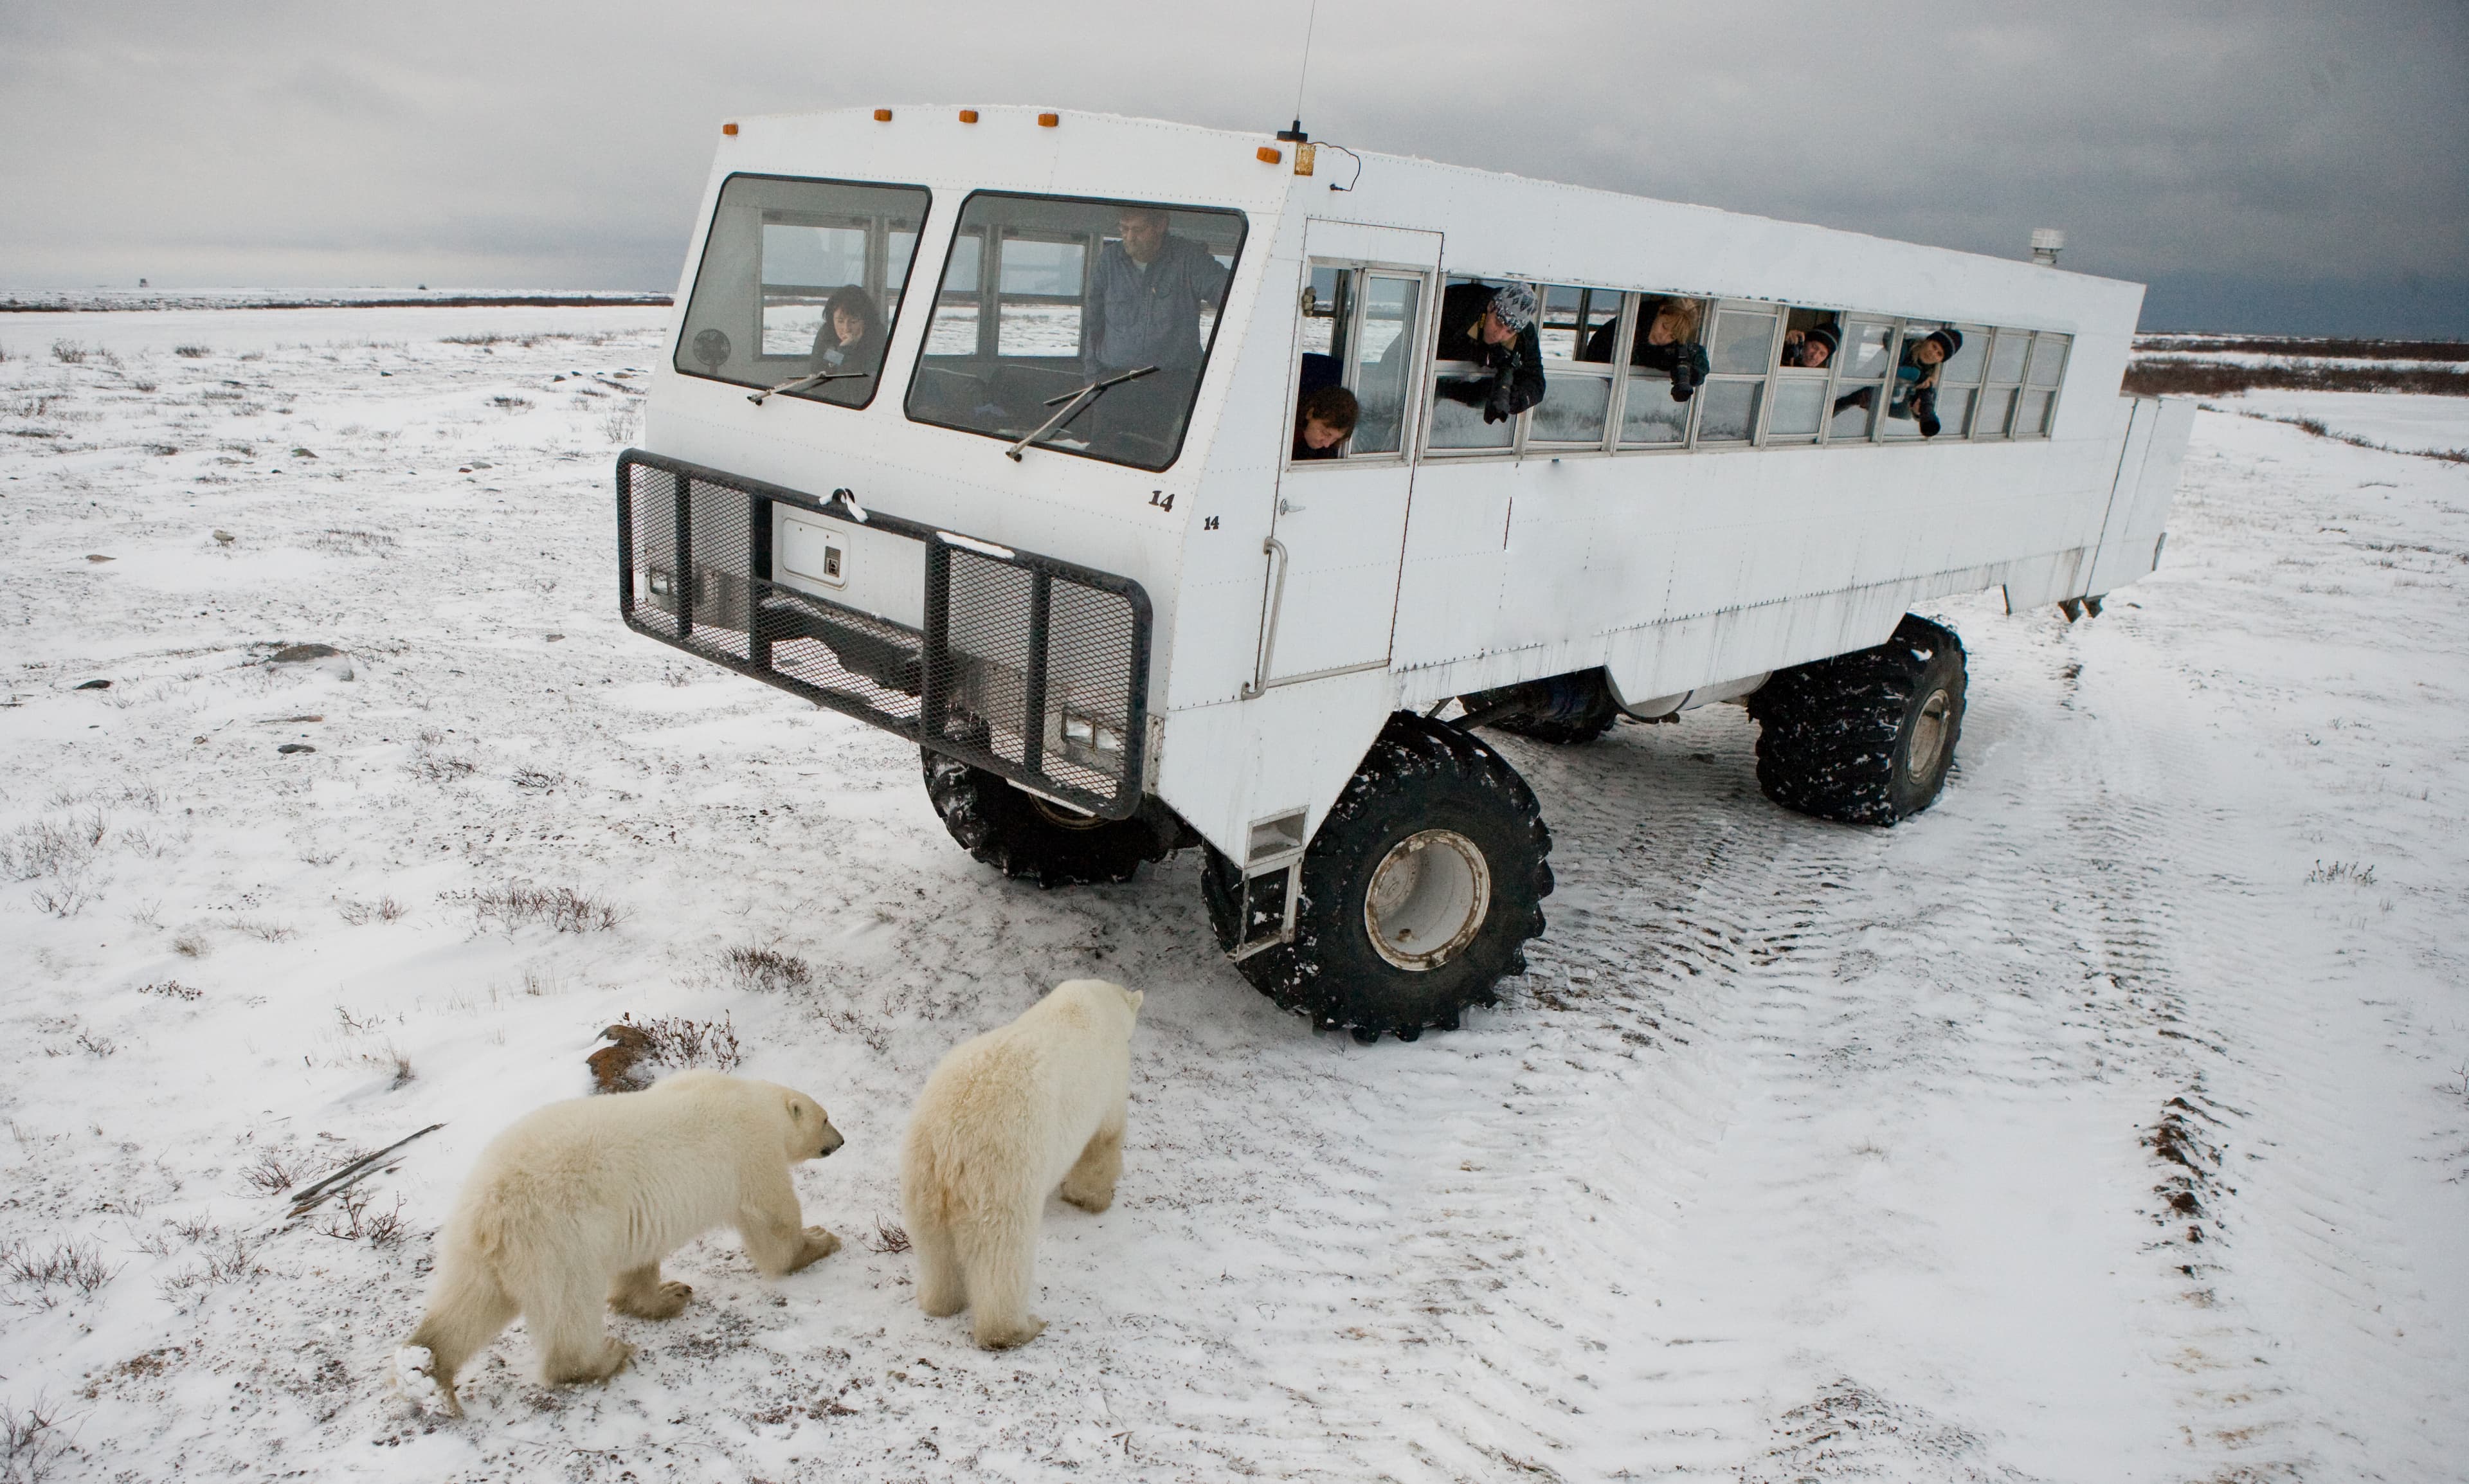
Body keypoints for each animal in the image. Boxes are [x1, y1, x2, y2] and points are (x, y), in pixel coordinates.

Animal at [394, 1070, 844, 1416]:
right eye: (825, 1118)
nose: (841, 1142)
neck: (752, 1101)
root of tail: (490, 1211)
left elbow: (638, 1261)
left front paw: (666, 1294)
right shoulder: (750, 1151)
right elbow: (772, 1217)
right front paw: (818, 1241)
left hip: (476, 1250)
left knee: (467, 1305)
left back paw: (426, 1370)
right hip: (558, 1238)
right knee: (569, 1306)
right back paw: (603, 1358)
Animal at [900, 978, 1143, 1349]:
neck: (1092, 1005)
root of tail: (951, 1137)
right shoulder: (1111, 1080)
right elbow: (1103, 1143)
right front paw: (1094, 1199)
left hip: (922, 1171)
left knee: (934, 1246)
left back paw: (938, 1301)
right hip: (1003, 1171)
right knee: (1003, 1253)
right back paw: (1017, 1329)